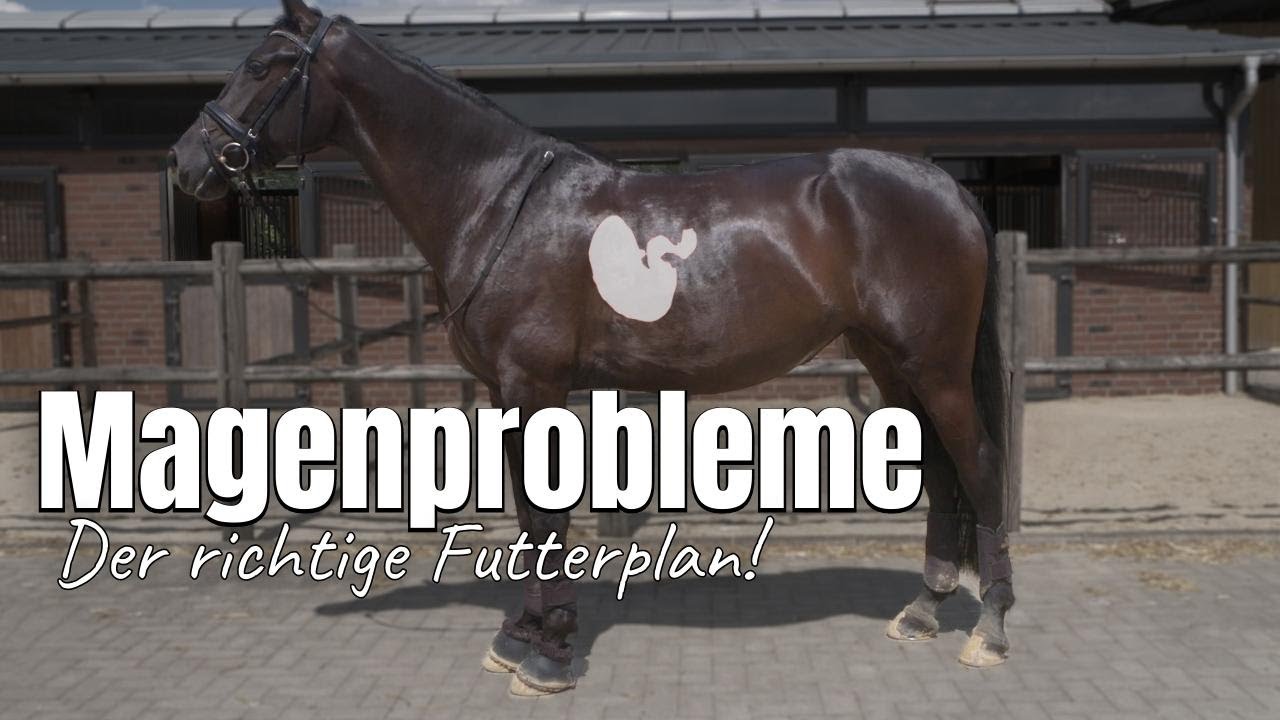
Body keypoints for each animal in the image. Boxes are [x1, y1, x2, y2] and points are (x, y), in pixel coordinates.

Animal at [170, 0, 1016, 696]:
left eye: (262, 66)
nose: (186, 162)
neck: (499, 203)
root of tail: (947, 187)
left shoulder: (533, 384)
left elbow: (548, 516)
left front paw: (549, 652)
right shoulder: (506, 392)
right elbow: (527, 515)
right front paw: (520, 637)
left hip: (935, 365)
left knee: (976, 465)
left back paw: (991, 628)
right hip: (890, 362)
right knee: (942, 468)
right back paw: (923, 609)